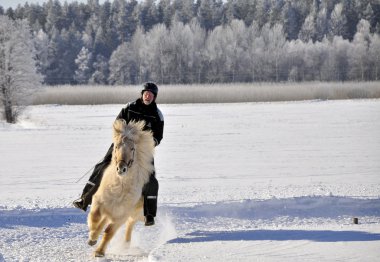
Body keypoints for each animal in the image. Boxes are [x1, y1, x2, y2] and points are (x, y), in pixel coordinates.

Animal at [87, 119, 154, 258]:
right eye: (116, 146)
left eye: (132, 148)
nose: (121, 169)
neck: (119, 187)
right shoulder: (99, 201)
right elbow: (95, 216)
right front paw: (92, 237)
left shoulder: (122, 214)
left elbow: (109, 232)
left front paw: (99, 252)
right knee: (104, 219)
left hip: (135, 212)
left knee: (129, 224)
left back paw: (126, 245)